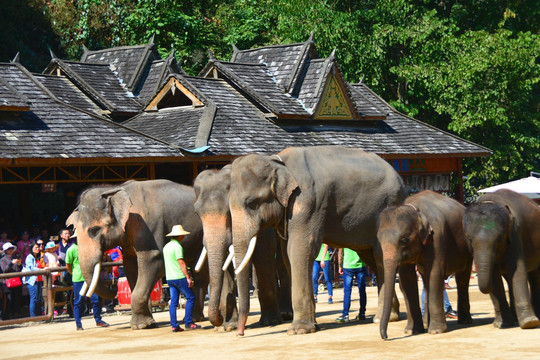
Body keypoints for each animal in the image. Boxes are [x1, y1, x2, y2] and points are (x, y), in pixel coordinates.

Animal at [66, 179, 211, 330]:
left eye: (93, 230)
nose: (113, 288)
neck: (116, 189)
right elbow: (130, 266)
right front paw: (148, 324)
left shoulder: (147, 226)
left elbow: (154, 261)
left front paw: (140, 326)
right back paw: (196, 318)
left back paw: (195, 318)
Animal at [193, 166, 294, 332]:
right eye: (197, 213)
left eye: (229, 212)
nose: (219, 319)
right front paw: (228, 327)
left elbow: (263, 253)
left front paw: (270, 321)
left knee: (281, 261)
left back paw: (285, 314)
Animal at [228, 145, 404, 336]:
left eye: (251, 203)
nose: (240, 333)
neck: (277, 161)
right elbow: (287, 256)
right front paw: (312, 326)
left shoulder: (308, 202)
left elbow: (300, 250)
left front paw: (299, 330)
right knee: (370, 257)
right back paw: (387, 317)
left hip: (389, 207)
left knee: (379, 256)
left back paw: (382, 318)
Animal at [376, 190, 472, 338]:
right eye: (379, 239)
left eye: (404, 239)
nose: (385, 337)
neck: (415, 209)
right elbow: (407, 278)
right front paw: (412, 331)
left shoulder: (437, 236)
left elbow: (435, 273)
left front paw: (436, 331)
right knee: (426, 280)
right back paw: (427, 324)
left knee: (462, 278)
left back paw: (465, 321)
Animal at [462, 188, 540, 330]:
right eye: (469, 239)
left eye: (499, 239)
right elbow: (494, 277)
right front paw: (501, 324)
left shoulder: (515, 234)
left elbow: (517, 270)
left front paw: (529, 323)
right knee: (509, 279)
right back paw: (514, 319)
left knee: (535, 277)